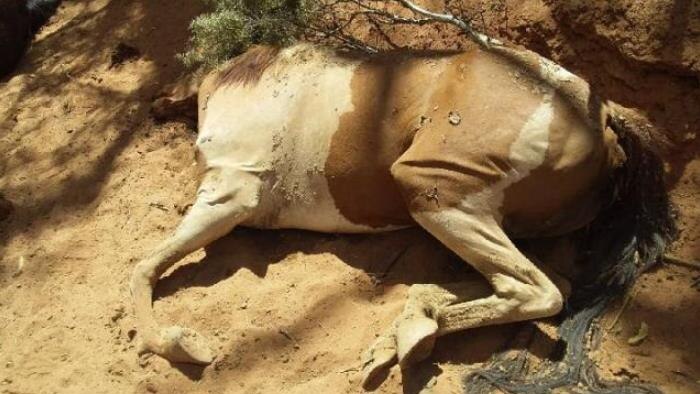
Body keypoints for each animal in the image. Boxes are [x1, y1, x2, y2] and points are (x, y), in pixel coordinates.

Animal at [133, 43, 672, 388]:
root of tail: (602, 114)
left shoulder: (229, 195)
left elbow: (142, 269)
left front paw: (182, 344)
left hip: (431, 188)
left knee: (535, 290)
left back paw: (412, 333)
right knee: (542, 283)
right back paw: (409, 327)